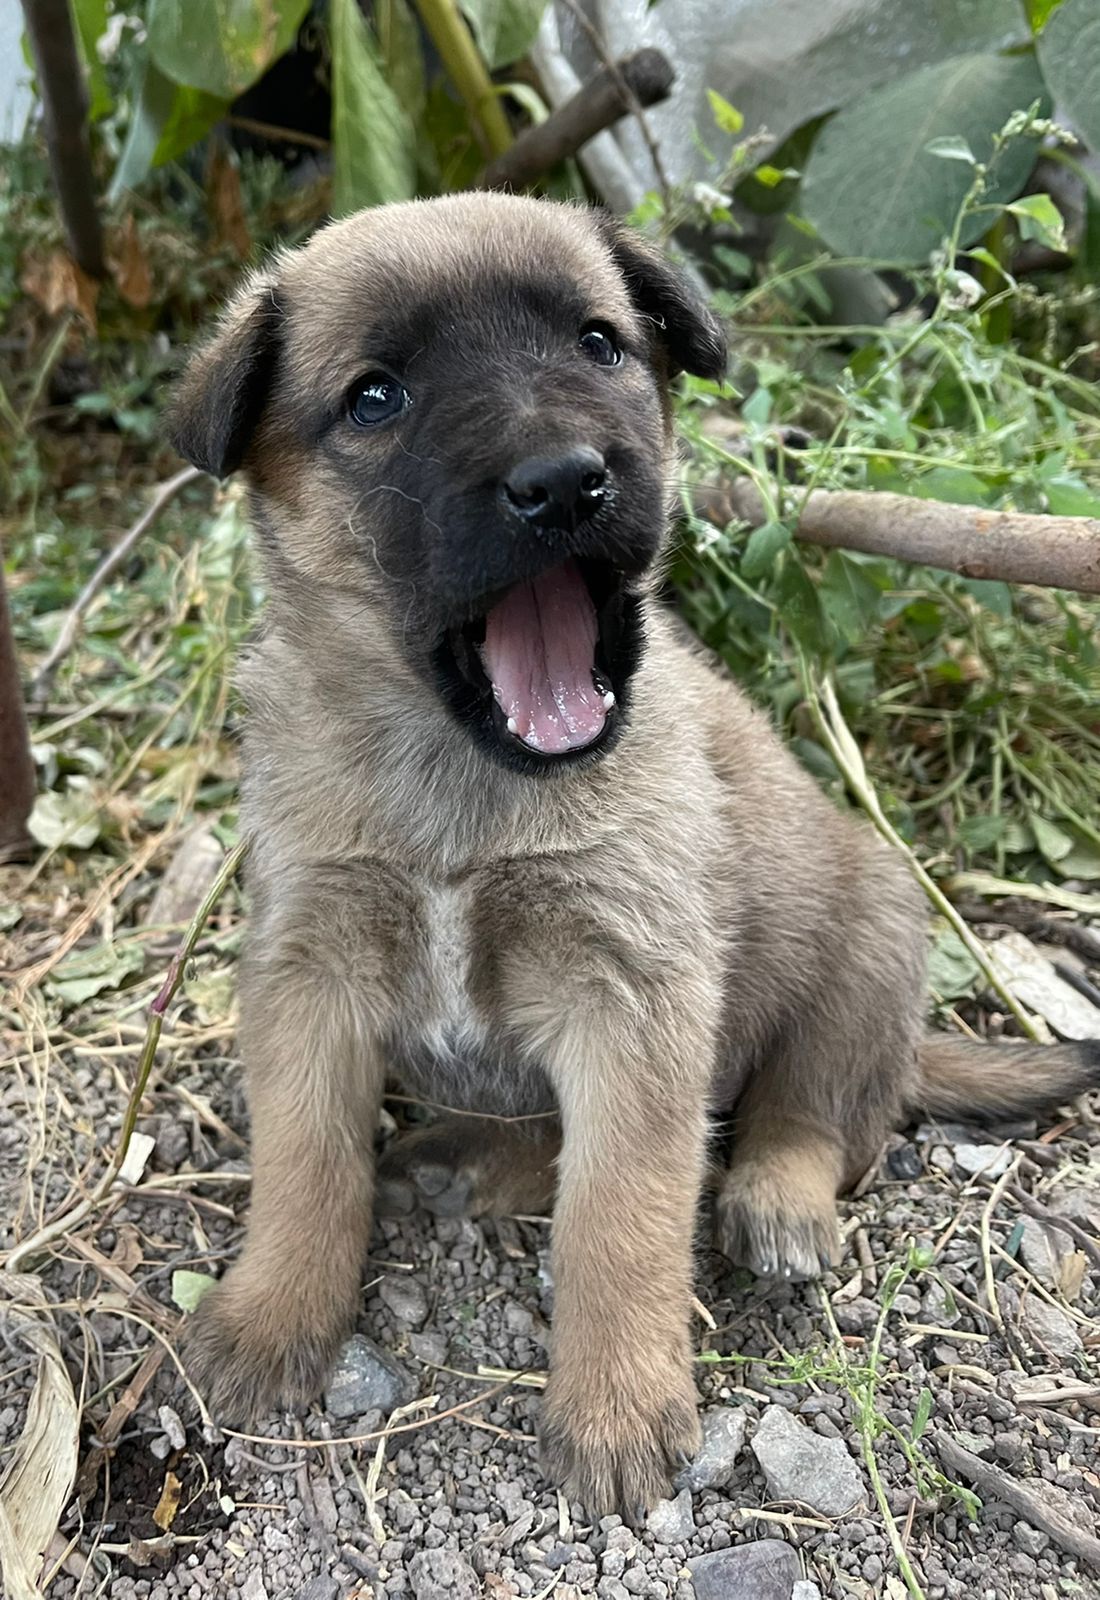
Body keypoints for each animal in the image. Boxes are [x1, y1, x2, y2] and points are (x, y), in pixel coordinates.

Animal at [167, 193, 1093, 1516]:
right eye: (375, 397)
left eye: (599, 345)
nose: (563, 482)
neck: (464, 781)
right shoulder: (308, 975)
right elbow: (304, 1165)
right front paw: (270, 1315)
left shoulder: (635, 995)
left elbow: (620, 1210)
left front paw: (611, 1403)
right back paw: (465, 1162)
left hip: (865, 934)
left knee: (815, 1111)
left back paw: (772, 1196)